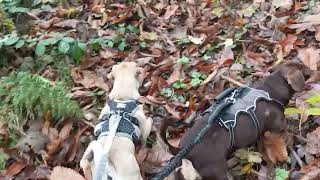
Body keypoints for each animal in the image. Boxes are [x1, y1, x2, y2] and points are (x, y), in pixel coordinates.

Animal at [159, 62, 316, 180]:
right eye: (305, 70)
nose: (315, 69)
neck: (270, 88)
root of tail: (180, 150)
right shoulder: (278, 123)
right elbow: (287, 131)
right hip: (216, 170)